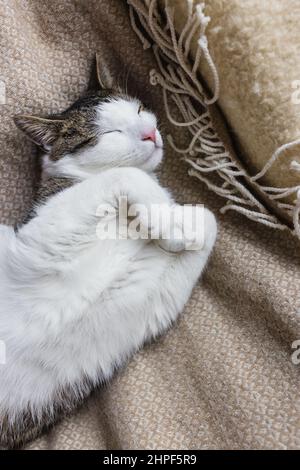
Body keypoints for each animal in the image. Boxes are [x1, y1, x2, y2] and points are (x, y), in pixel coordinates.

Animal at [0, 56, 217, 448]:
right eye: (110, 134)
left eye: (139, 109)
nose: (150, 133)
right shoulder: (38, 240)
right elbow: (127, 175)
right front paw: (167, 218)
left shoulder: (148, 307)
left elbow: (208, 218)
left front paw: (176, 226)